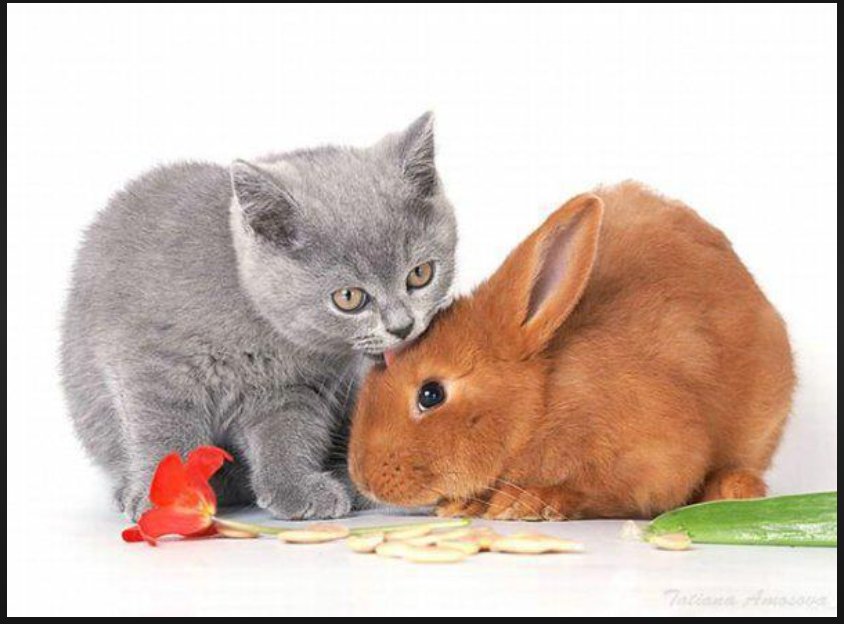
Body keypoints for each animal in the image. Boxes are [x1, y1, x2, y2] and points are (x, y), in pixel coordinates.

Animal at [60, 113, 457, 520]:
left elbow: (287, 434)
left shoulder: (293, 388)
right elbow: (163, 427)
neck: (261, 328)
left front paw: (295, 489)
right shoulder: (153, 364)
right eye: (349, 297)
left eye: (420, 274)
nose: (402, 326)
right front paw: (170, 497)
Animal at [347, 181, 795, 520]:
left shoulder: (656, 457)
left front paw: (526, 501)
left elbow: (600, 491)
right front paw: (464, 504)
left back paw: (733, 489)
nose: (362, 476)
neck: (540, 406)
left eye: (431, 393)